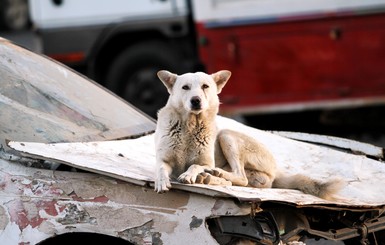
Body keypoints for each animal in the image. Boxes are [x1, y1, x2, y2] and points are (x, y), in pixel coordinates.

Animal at [153, 69, 340, 199]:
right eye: (185, 87)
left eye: (205, 86)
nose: (196, 100)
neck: (190, 127)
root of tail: (276, 171)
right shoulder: (164, 160)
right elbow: (161, 169)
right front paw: (161, 182)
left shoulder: (206, 162)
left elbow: (195, 166)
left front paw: (189, 175)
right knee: (235, 181)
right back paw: (210, 178)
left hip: (226, 135)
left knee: (240, 177)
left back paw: (214, 174)